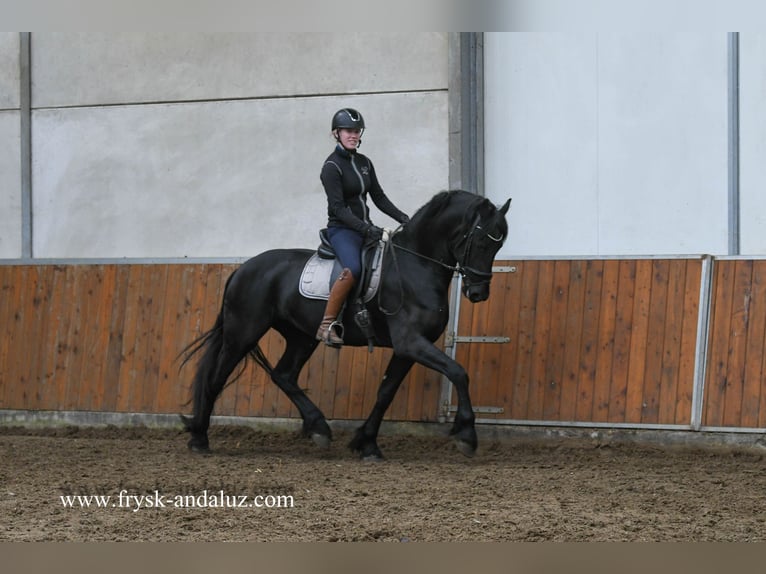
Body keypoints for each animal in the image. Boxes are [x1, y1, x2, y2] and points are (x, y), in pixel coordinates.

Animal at [183, 191, 512, 462]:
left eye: (499, 245)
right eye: (481, 241)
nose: (478, 293)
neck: (414, 266)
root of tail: (243, 268)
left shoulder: (408, 349)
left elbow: (385, 393)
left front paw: (367, 444)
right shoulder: (411, 342)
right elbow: (458, 372)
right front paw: (467, 435)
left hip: (302, 337)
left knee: (284, 375)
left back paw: (319, 428)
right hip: (243, 333)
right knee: (216, 377)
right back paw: (199, 438)